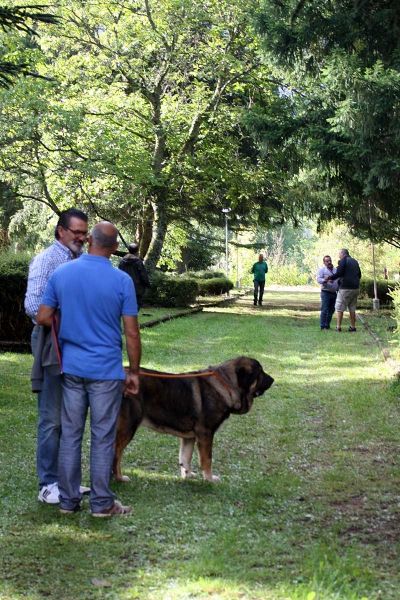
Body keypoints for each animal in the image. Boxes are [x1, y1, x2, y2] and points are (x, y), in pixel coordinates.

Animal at [114, 356, 274, 482]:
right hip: (128, 427)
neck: (226, 385)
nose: (273, 380)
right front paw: (209, 479)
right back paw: (120, 478)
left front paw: (188, 475)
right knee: (116, 454)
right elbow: (206, 459)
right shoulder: (206, 433)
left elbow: (185, 457)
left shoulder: (189, 437)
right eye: (260, 372)